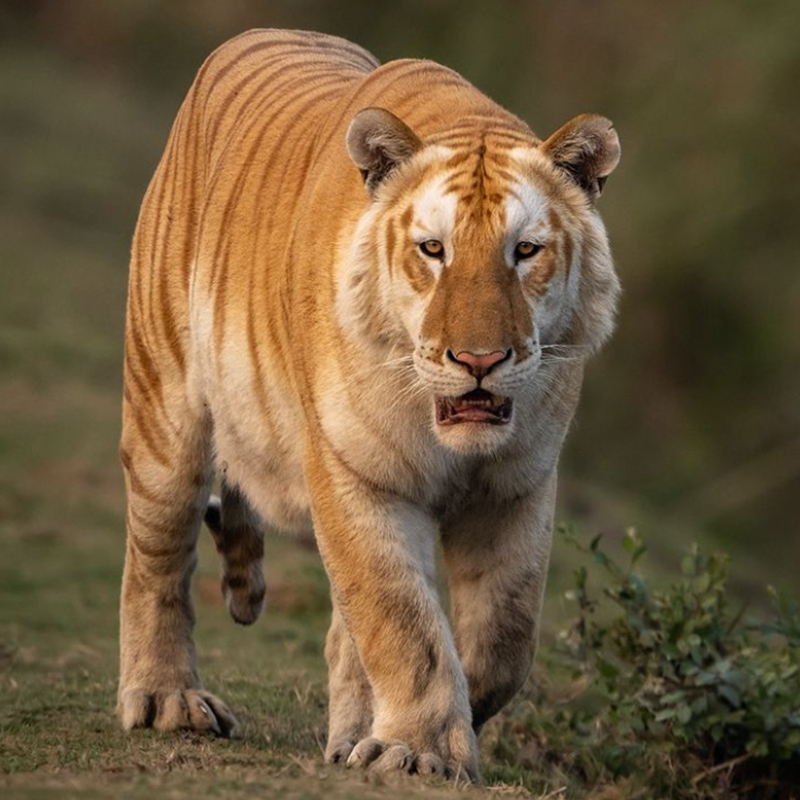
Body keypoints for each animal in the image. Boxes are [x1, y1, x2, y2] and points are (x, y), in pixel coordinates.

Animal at [117, 29, 620, 780]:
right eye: (433, 250)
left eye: (525, 251)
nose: (479, 360)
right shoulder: (356, 472)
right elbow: (402, 622)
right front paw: (419, 750)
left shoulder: (518, 486)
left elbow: (504, 636)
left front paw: (413, 735)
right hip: (165, 411)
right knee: (157, 558)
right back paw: (167, 701)